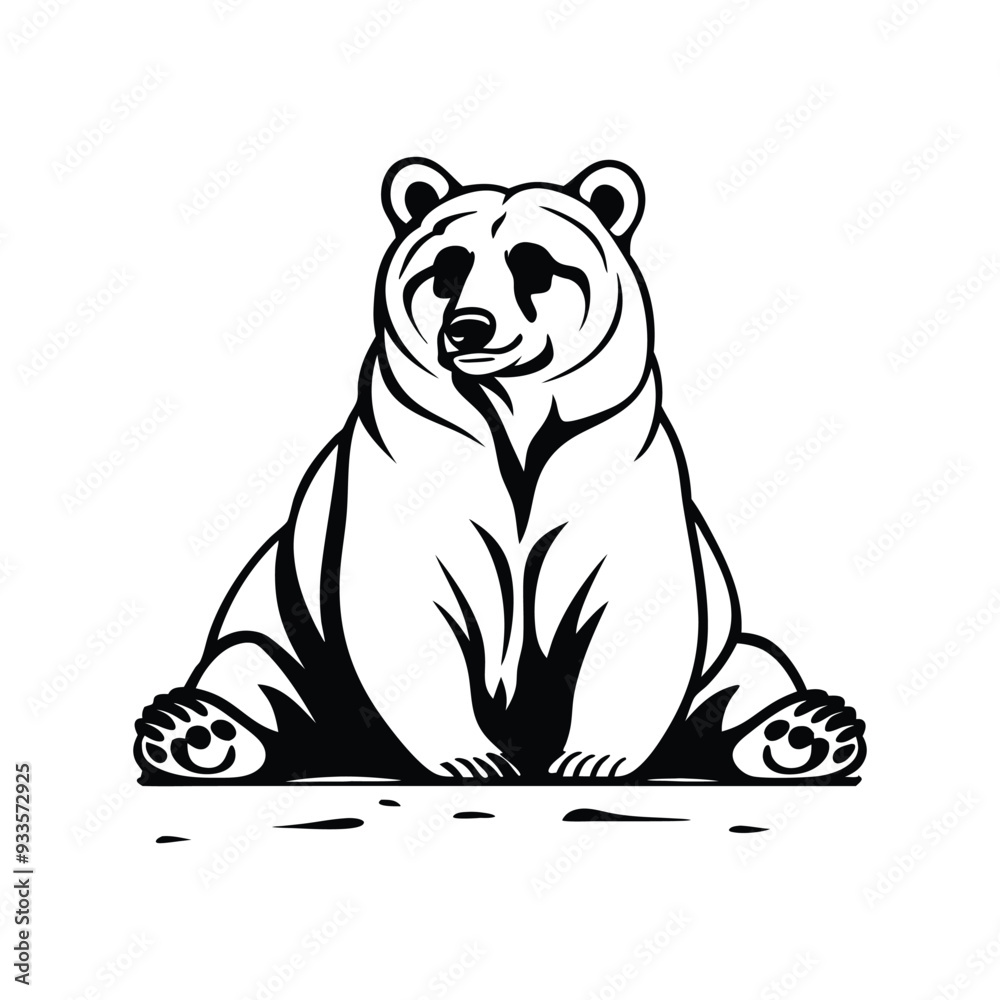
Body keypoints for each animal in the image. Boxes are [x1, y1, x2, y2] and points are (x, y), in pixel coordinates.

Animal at [133, 158, 866, 784]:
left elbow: (636, 601)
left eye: (534, 264)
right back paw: (194, 732)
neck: (514, 413)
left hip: (725, 652)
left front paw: (594, 758)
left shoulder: (612, 460)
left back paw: (807, 731)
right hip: (287, 632)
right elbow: (404, 601)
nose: (470, 327)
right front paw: (471, 759)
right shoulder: (408, 461)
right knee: (256, 671)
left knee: (746, 670)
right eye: (446, 267)